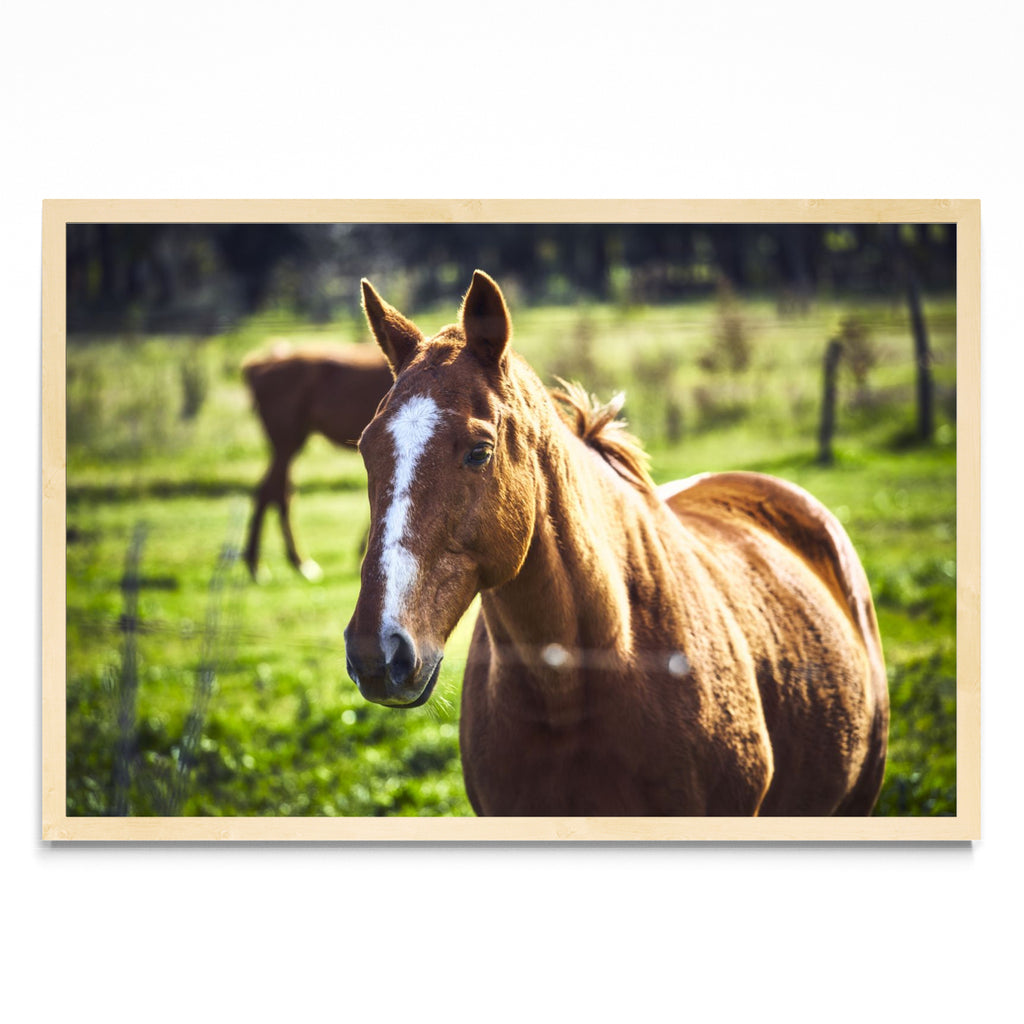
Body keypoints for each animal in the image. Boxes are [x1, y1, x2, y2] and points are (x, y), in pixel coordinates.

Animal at [242, 342, 393, 581]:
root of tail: (258, 366)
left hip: (290, 443)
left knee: (278, 493)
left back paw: (289, 562)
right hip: (286, 442)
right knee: (271, 493)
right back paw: (268, 564)